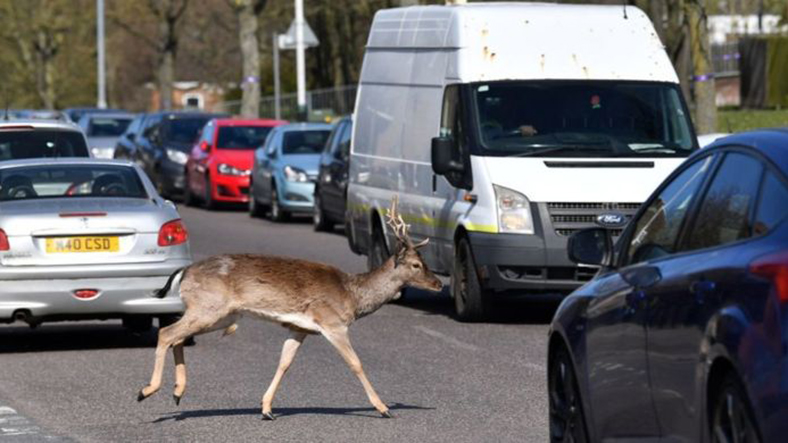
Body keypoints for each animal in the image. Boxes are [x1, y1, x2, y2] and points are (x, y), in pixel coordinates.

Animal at [136, 197, 444, 420]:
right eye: (416, 264)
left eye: (425, 262)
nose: (439, 283)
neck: (353, 295)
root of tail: (184, 272)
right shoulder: (332, 322)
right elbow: (355, 363)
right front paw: (383, 408)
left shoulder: (299, 328)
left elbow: (284, 363)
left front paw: (266, 409)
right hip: (208, 307)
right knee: (166, 333)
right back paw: (147, 390)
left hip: (220, 315)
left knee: (177, 336)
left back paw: (178, 393)